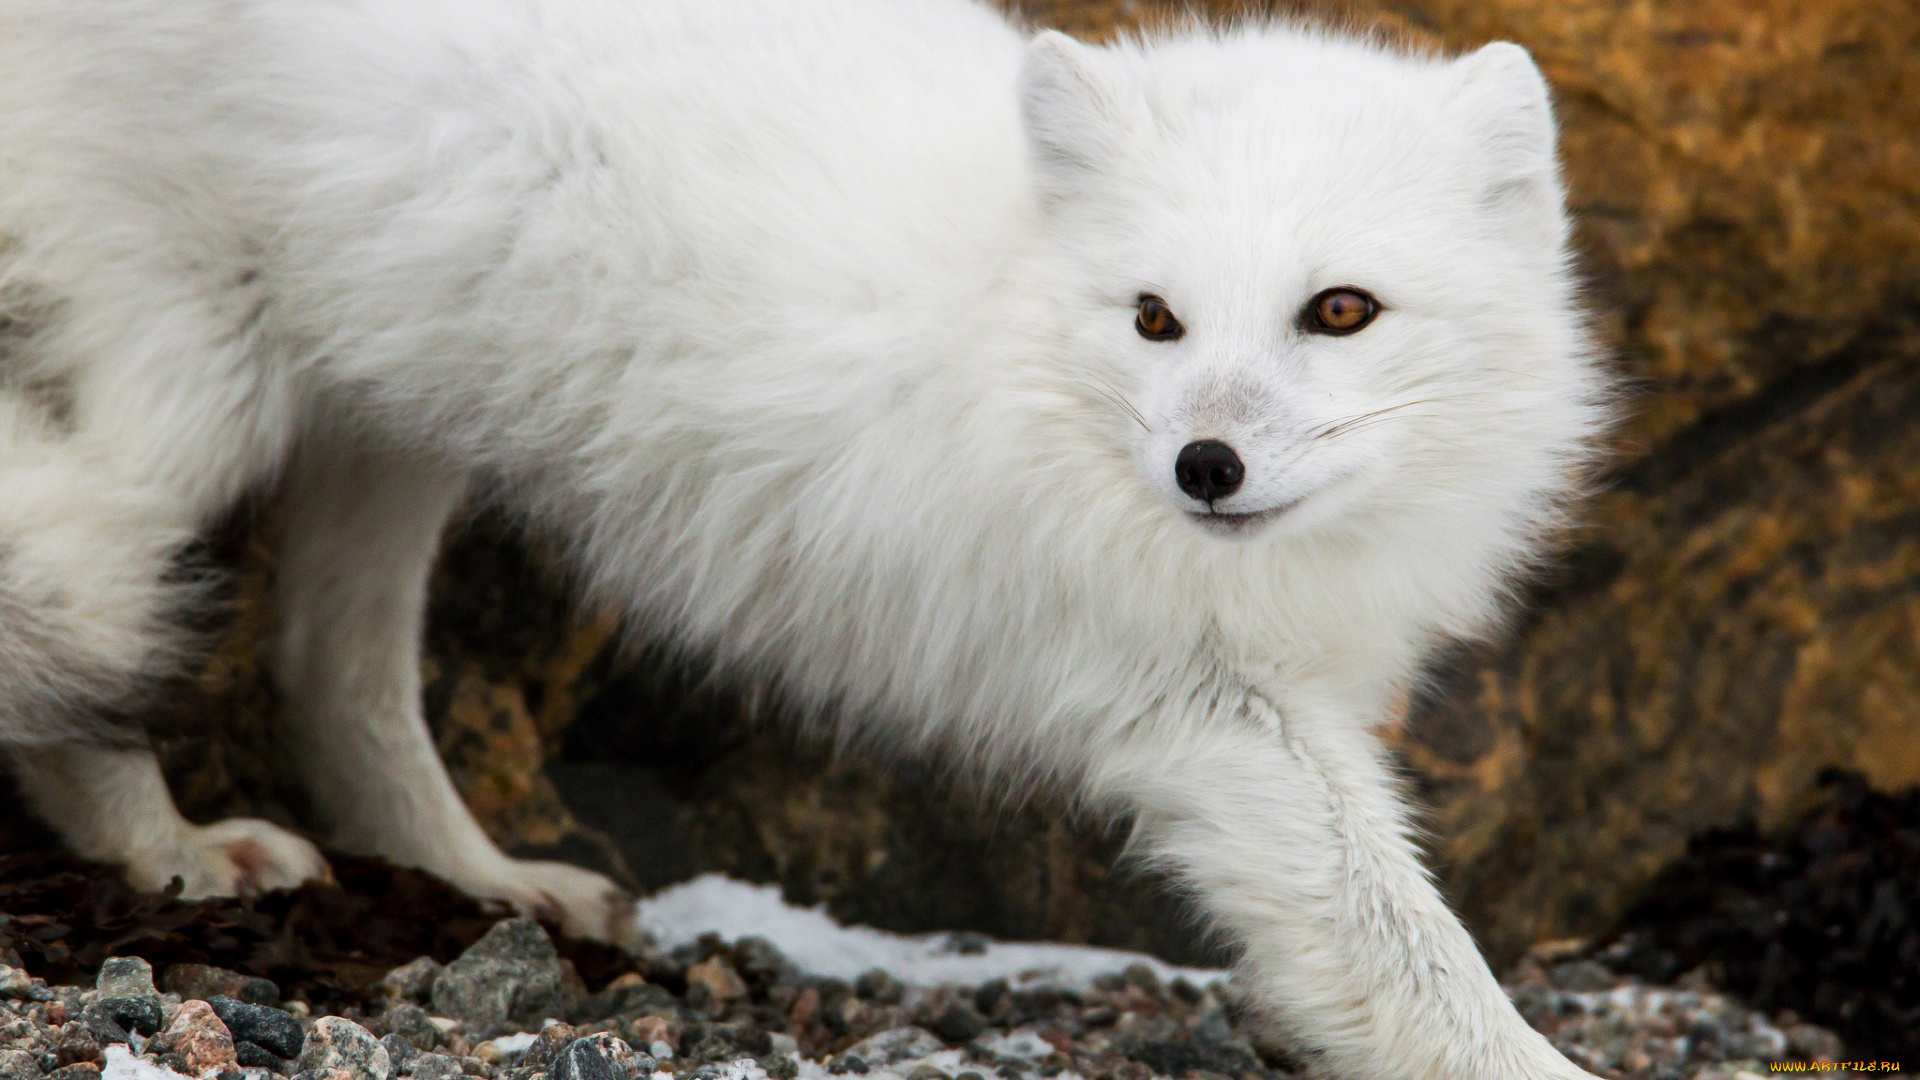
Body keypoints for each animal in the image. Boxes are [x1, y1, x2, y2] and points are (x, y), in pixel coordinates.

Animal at [0, 0, 1605, 1068]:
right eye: (1156, 318)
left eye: (1341, 310)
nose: (1203, 468)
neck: (1016, 321)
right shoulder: (1200, 701)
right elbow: (1403, 944)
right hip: (200, 397)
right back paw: (169, 848)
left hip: (390, 432)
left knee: (333, 673)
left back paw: (476, 882)